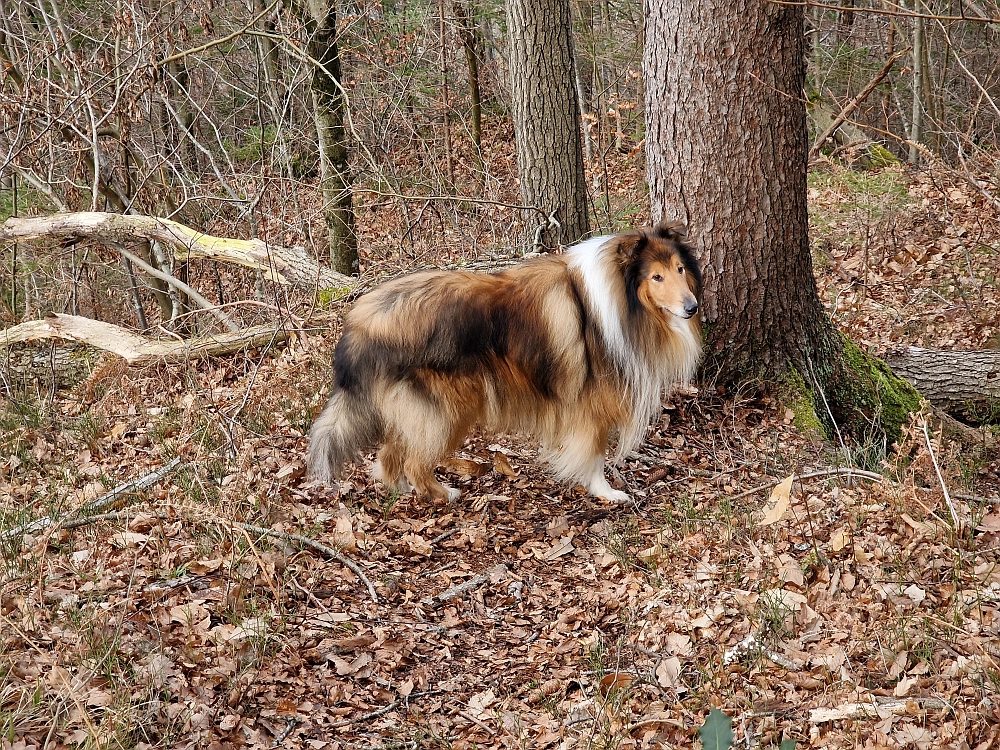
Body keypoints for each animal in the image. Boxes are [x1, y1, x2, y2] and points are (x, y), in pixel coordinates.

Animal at [306, 223, 704, 506]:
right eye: (656, 276)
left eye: (680, 269)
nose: (692, 308)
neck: (618, 302)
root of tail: (360, 323)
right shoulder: (589, 402)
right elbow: (594, 453)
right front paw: (605, 492)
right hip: (444, 410)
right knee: (413, 460)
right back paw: (442, 494)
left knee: (390, 453)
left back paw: (403, 490)